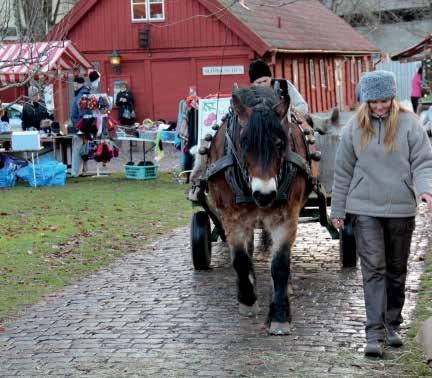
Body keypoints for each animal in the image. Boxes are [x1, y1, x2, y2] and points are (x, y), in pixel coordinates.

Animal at [204, 85, 316, 334]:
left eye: (280, 143)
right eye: (244, 142)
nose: (264, 195)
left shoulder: (286, 217)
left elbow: (280, 263)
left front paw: (280, 314)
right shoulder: (232, 218)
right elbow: (240, 259)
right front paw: (247, 299)